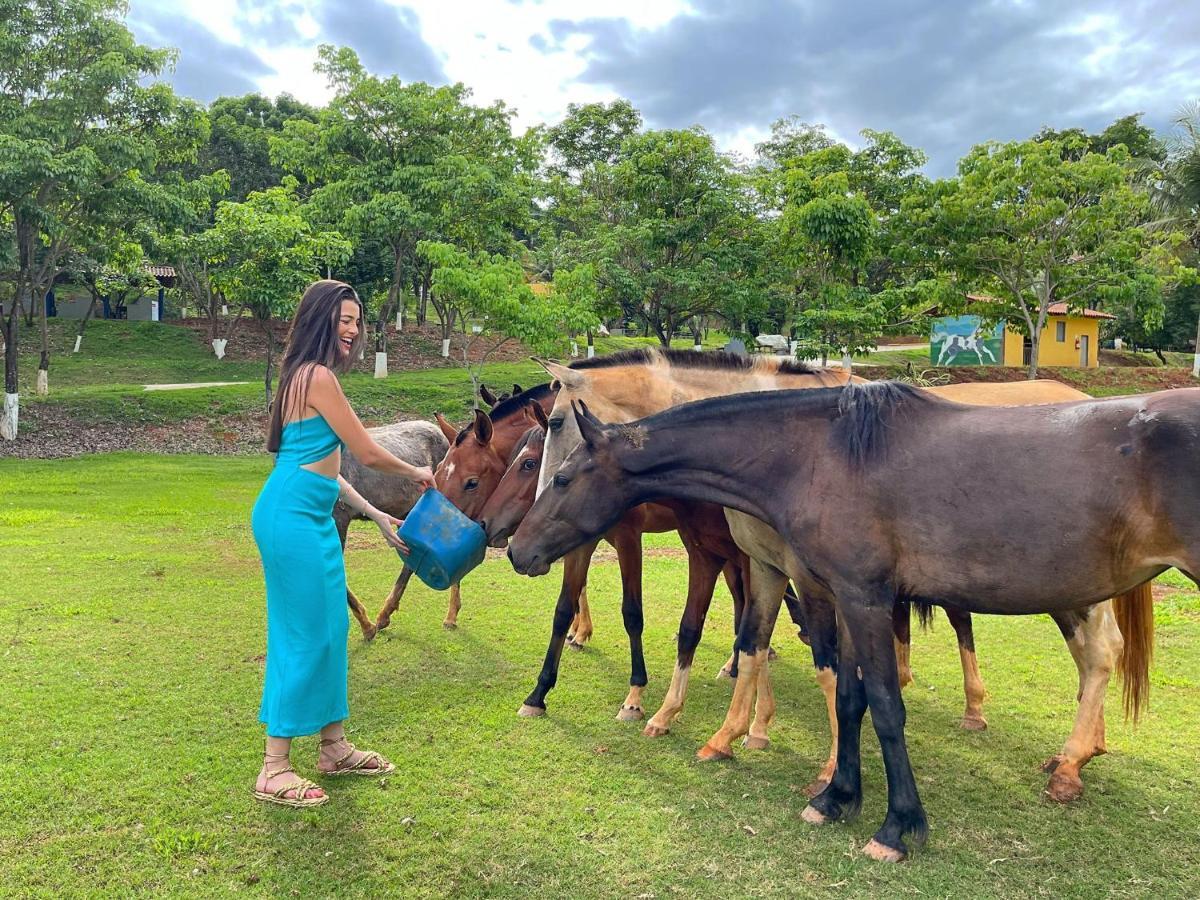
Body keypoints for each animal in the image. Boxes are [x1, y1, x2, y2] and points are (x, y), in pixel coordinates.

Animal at [506, 384, 1190, 864]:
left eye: (560, 474)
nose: (517, 550)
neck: (821, 458)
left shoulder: (861, 598)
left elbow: (884, 704)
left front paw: (897, 825)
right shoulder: (832, 596)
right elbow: (848, 694)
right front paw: (836, 796)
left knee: (1097, 655)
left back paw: (1071, 763)